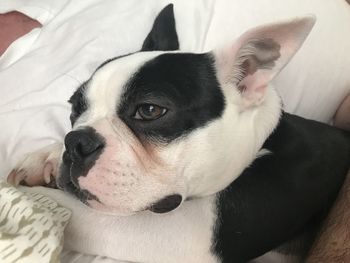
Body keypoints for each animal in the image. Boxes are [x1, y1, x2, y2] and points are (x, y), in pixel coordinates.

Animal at [7, 4, 350, 263]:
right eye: (74, 109)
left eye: (149, 110)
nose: (76, 142)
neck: (261, 142)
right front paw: (46, 157)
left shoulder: (189, 233)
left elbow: (66, 206)